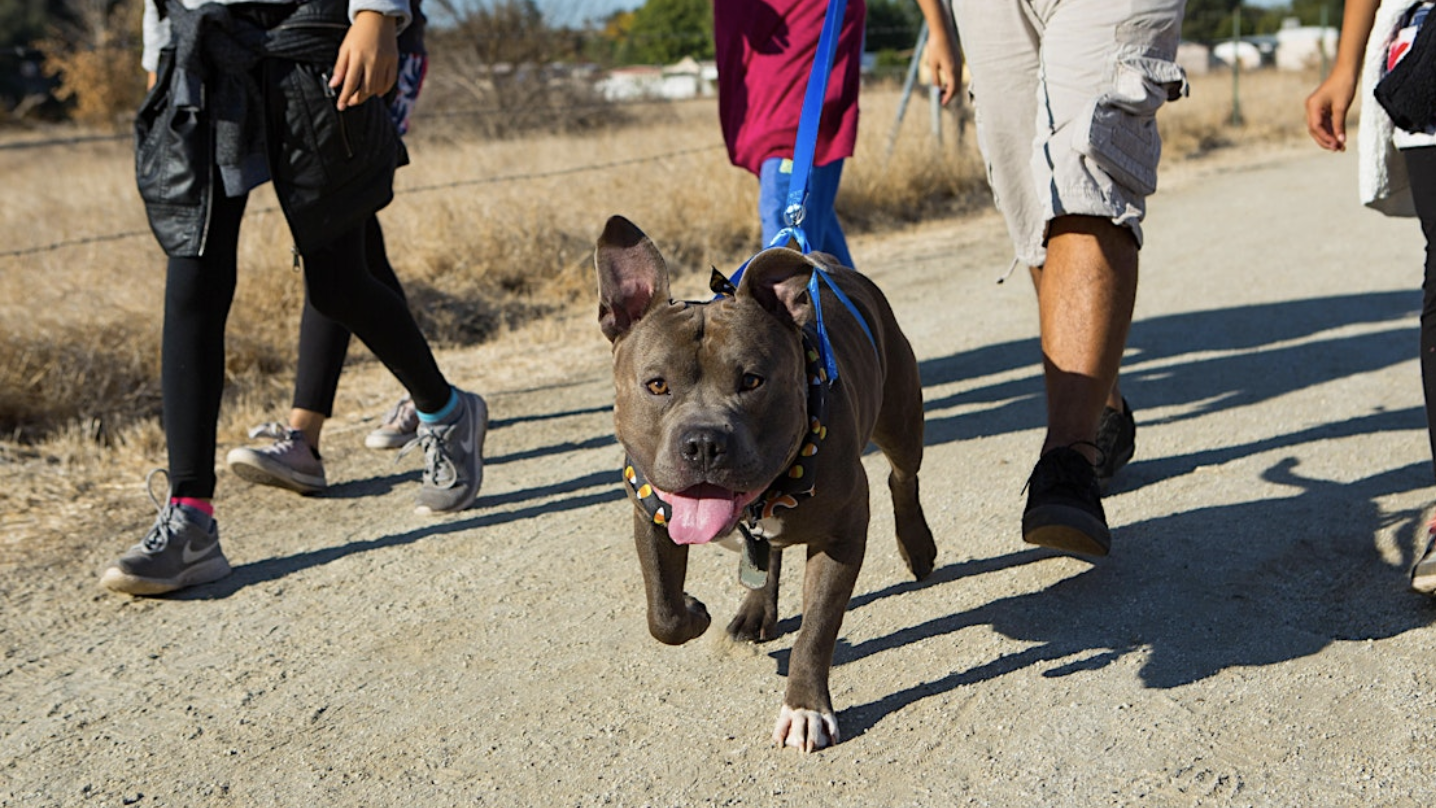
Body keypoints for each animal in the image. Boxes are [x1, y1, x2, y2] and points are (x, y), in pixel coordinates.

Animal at [591, 215, 936, 752]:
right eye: (656, 385)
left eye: (752, 381)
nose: (703, 442)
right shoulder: (649, 509)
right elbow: (663, 612)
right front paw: (694, 611)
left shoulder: (842, 536)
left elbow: (816, 630)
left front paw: (805, 709)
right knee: (764, 555)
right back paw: (755, 610)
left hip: (901, 418)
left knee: (903, 477)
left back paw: (917, 547)